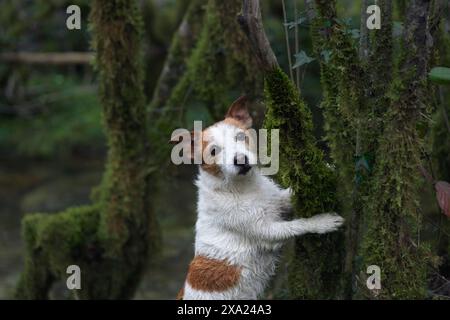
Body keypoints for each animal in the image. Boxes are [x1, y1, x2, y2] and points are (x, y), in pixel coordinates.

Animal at [174, 95, 342, 300]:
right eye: (213, 151)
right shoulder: (267, 231)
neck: (241, 188)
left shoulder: (277, 201)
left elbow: (288, 195)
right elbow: (298, 225)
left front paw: (328, 168)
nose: (240, 160)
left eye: (240, 136)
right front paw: (322, 222)